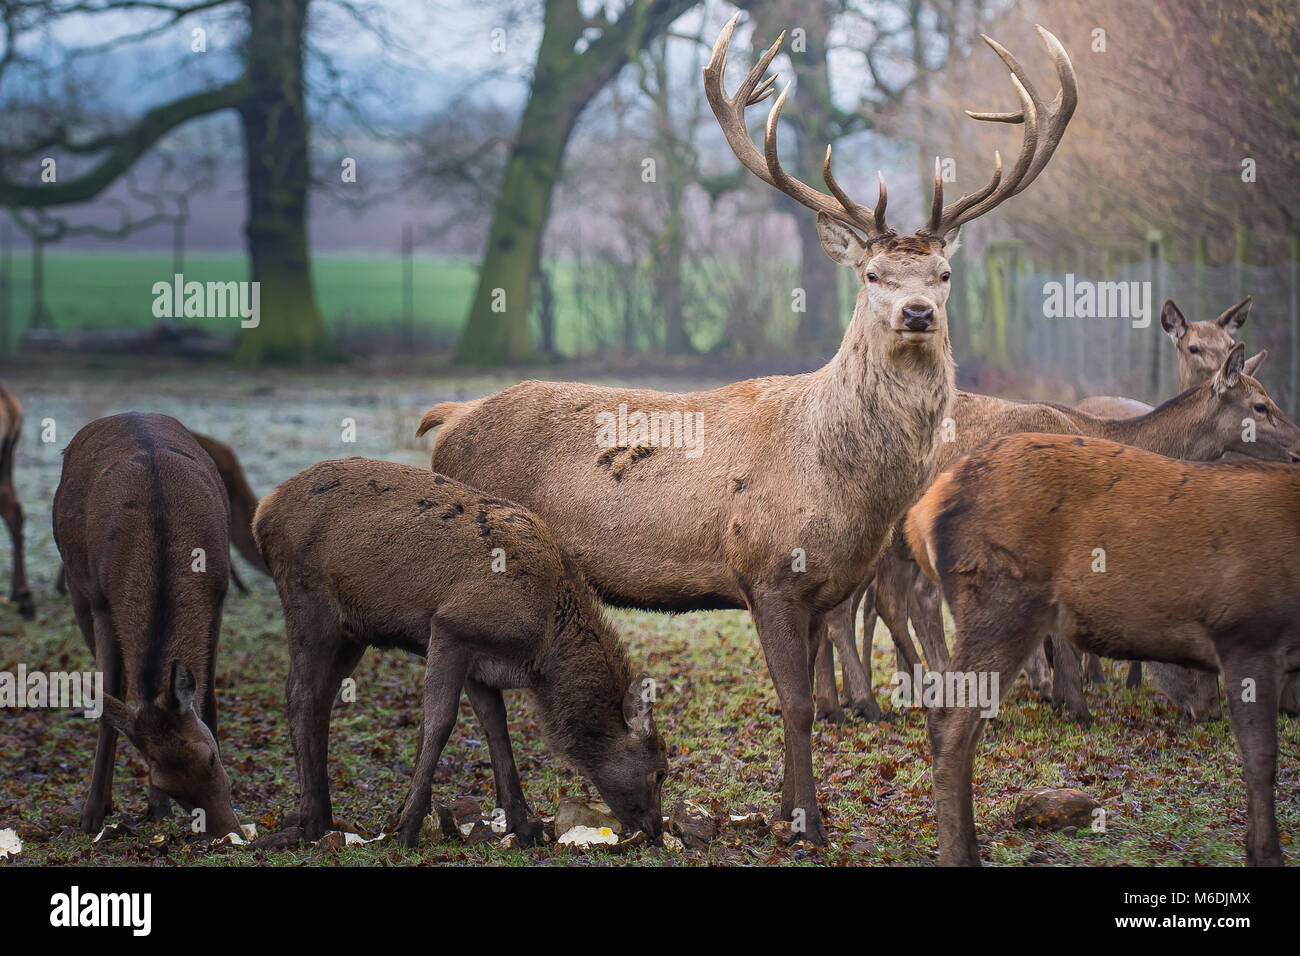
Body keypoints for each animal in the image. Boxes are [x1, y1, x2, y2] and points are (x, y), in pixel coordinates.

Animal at [52, 411, 244, 837]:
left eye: (211, 757)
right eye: (166, 783)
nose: (228, 832)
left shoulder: (219, 597)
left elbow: (208, 698)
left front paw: (154, 809)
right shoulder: (102, 603)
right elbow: (109, 698)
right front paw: (94, 812)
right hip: (76, 585)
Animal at [256, 460, 670, 848]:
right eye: (660, 772)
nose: (655, 830)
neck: (543, 647)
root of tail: (263, 512)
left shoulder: (479, 663)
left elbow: (495, 727)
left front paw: (524, 826)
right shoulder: (451, 628)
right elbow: (439, 723)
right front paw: (406, 827)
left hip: (351, 631)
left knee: (320, 699)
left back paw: (325, 818)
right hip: (309, 603)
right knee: (301, 695)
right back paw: (313, 821)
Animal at [416, 14, 1076, 842]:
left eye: (944, 274)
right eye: (872, 276)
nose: (918, 312)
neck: (840, 483)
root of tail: (447, 423)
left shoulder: (826, 589)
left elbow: (810, 697)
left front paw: (786, 813)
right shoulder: (766, 570)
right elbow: (796, 703)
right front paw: (809, 826)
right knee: (480, 687)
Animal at [904, 426, 1300, 868]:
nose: (1208, 710)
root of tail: (921, 511)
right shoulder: (1248, 635)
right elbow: (1261, 759)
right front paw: (1266, 854)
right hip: (1000, 603)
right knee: (950, 719)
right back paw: (958, 854)